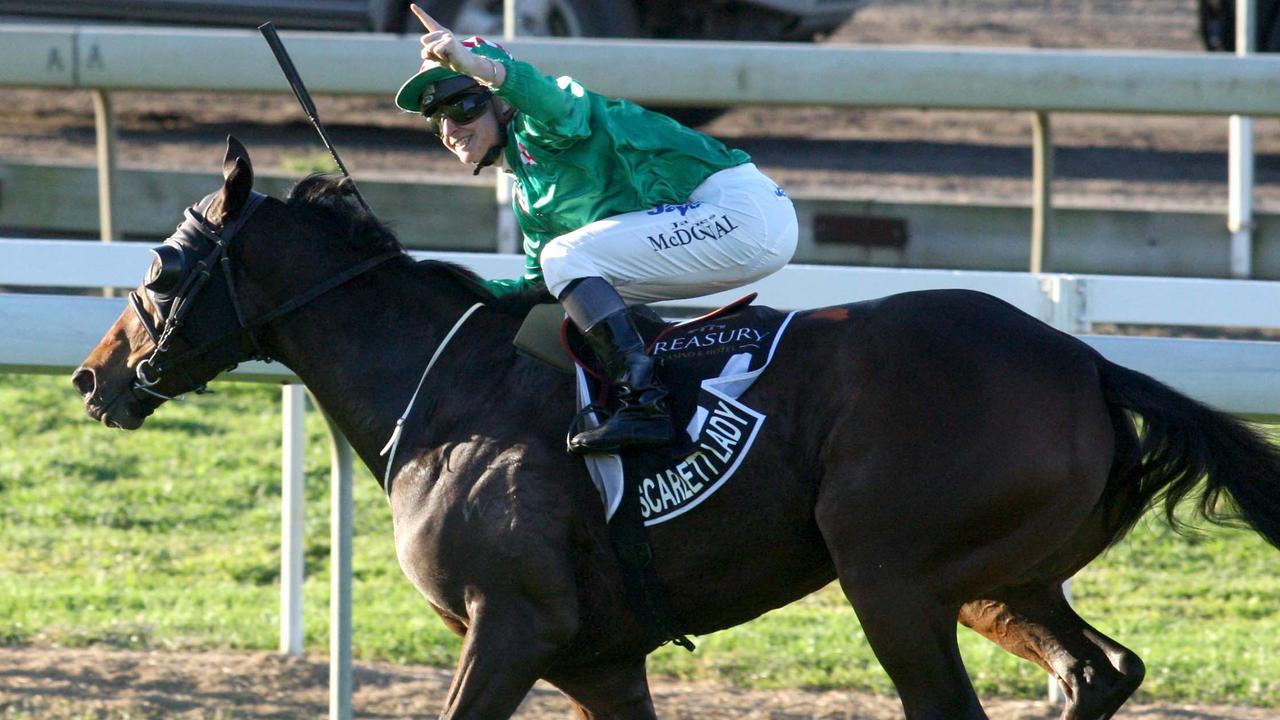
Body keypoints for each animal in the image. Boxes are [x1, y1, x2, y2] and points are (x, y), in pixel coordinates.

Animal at [72, 137, 1280, 712]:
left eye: (162, 265)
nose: (93, 379)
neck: (450, 394)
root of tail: (1084, 360)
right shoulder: (599, 663)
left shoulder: (509, 627)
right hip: (999, 578)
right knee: (1097, 671)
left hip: (892, 577)